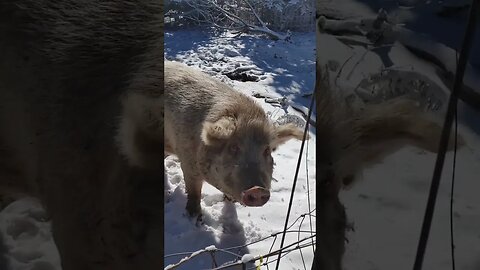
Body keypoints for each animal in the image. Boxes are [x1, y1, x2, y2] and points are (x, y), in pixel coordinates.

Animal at [163, 60, 306, 216]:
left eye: (266, 150)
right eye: (233, 147)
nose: (257, 190)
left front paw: (230, 201)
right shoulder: (188, 162)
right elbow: (194, 192)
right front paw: (195, 216)